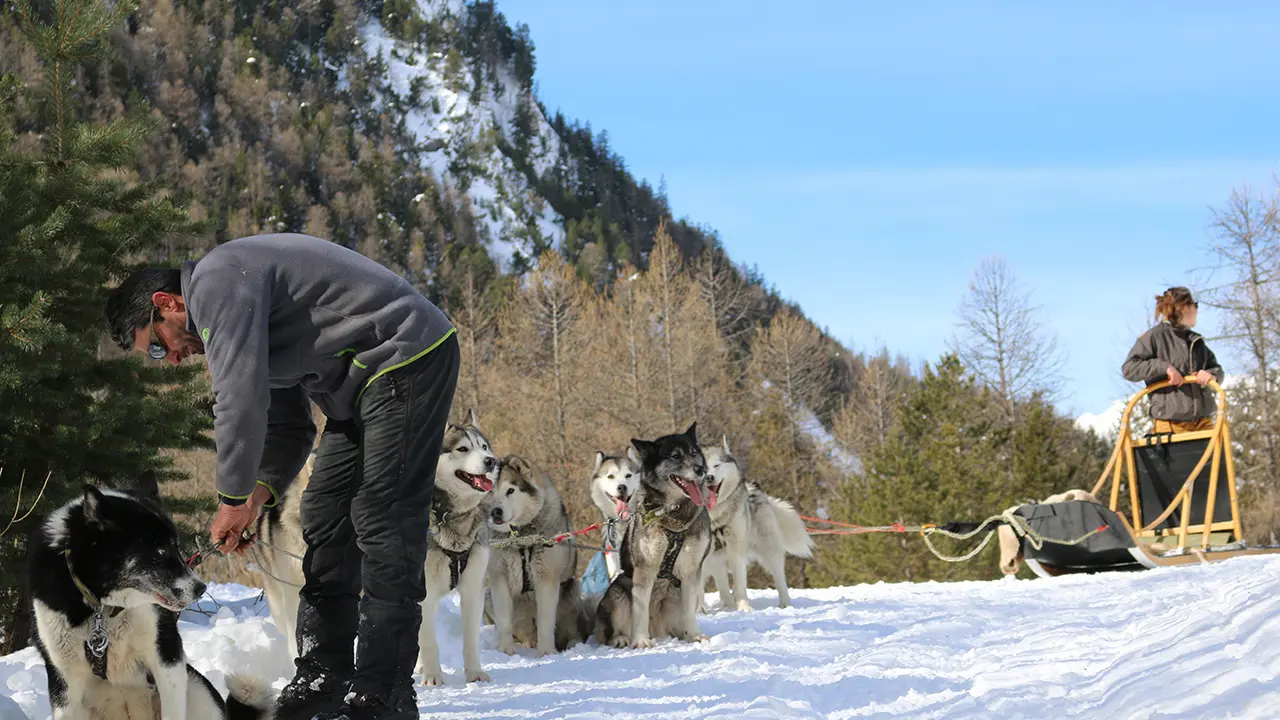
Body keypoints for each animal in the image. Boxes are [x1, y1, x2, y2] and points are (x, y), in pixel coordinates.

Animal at [30, 484, 275, 712]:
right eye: (161, 551)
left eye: (176, 546)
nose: (200, 588)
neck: (103, 609)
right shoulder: (64, 683)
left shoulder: (166, 657)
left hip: (197, 686)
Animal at [483, 456, 593, 653]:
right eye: (489, 491)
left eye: (510, 490)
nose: (495, 512)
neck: (520, 536)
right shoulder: (499, 577)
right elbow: (504, 621)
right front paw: (505, 650)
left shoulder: (546, 578)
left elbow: (545, 622)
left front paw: (546, 653)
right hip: (490, 598)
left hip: (571, 592)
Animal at [701, 435, 808, 607]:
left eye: (716, 465)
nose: (709, 477)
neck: (714, 516)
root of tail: (756, 491)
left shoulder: (735, 547)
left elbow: (740, 582)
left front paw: (743, 607)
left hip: (769, 549)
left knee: (779, 578)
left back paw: (785, 604)